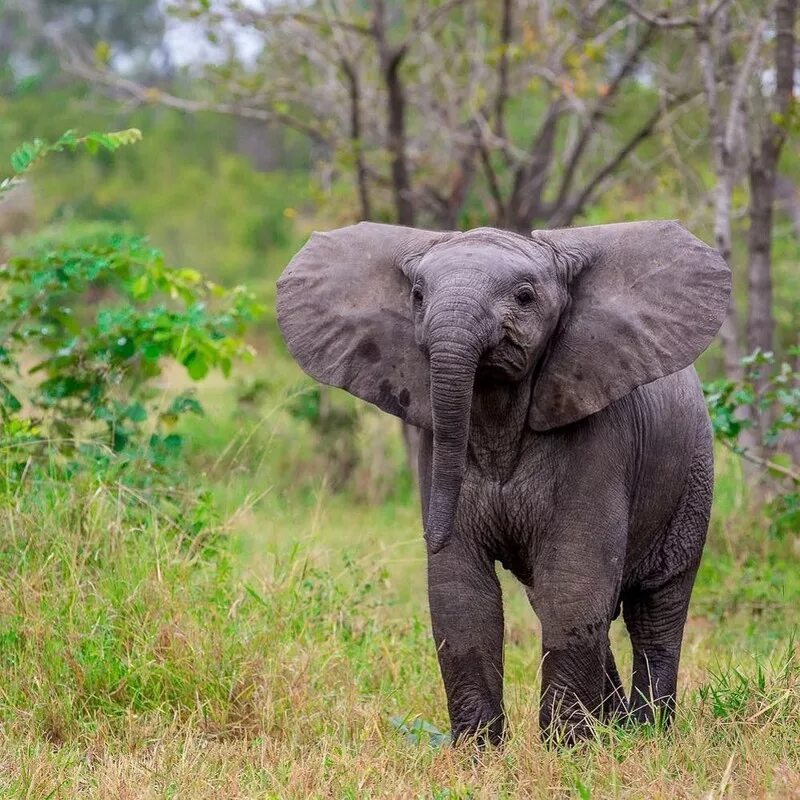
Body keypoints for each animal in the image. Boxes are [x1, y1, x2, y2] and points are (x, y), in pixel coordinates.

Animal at [276, 217, 732, 744]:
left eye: (525, 296)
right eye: (417, 294)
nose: (427, 535)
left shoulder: (600, 438)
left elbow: (573, 586)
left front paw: (565, 750)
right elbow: (462, 596)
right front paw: (478, 752)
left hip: (693, 475)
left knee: (654, 609)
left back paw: (646, 734)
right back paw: (614, 728)